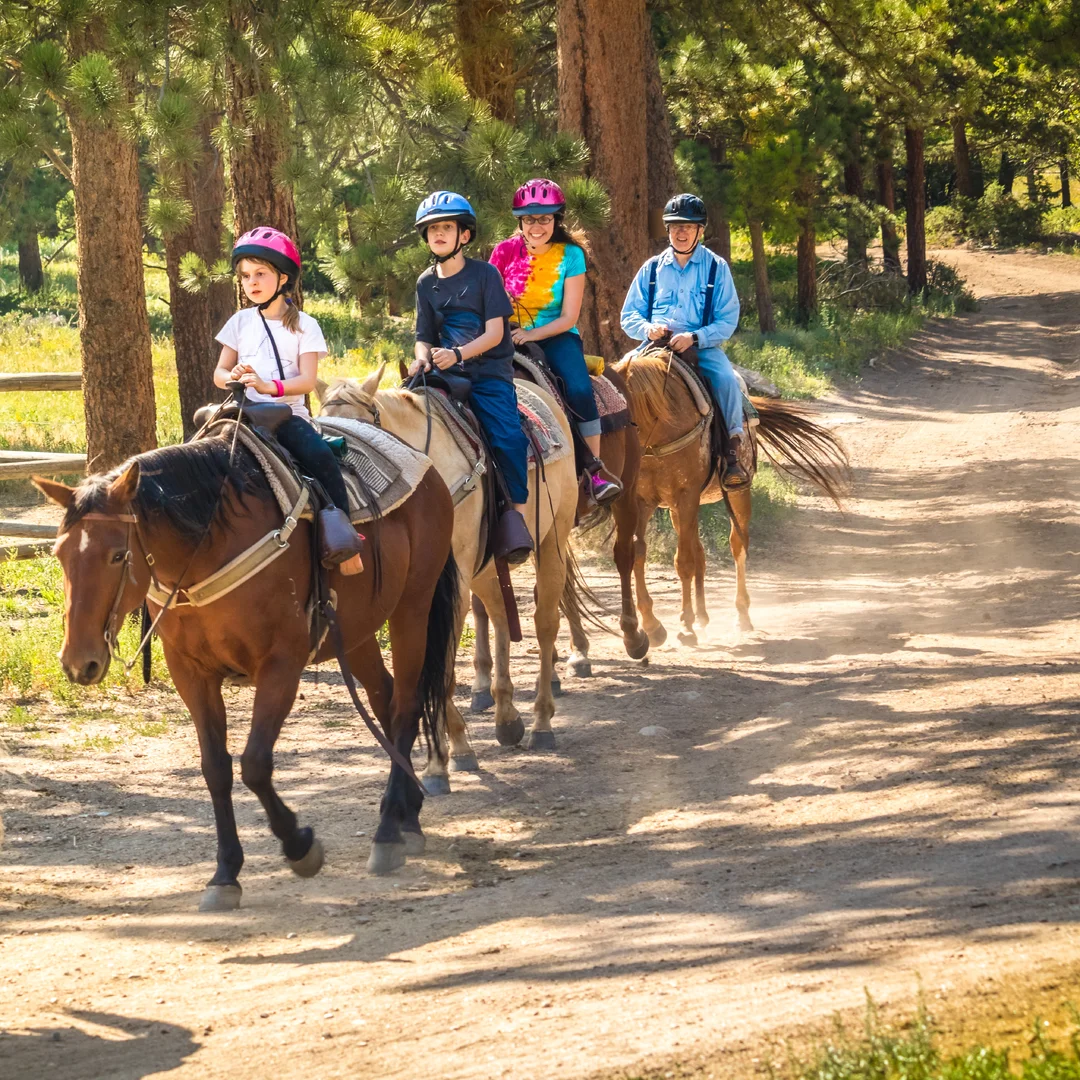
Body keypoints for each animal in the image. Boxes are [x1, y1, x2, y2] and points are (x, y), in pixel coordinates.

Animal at [34, 430, 459, 910]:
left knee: (405, 706)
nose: (79, 661)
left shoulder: (281, 663)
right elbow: (215, 769)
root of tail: (427, 470)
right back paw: (408, 816)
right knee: (385, 699)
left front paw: (300, 846)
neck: (207, 547)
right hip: (356, 631)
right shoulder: (190, 673)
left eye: (116, 555)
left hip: (413, 608)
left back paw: (388, 832)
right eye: (60, 553)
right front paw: (225, 875)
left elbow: (254, 764)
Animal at [318, 362, 582, 786]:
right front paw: (442, 758)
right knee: (499, 615)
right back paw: (506, 716)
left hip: (552, 539)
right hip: (486, 566)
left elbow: (439, 667)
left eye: (356, 440)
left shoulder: (450, 584)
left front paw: (450, 753)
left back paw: (541, 722)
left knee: (544, 625)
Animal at [612, 349, 848, 645]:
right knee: (700, 552)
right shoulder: (643, 501)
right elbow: (639, 554)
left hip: (735, 494)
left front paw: (685, 626)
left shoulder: (685, 496)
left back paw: (741, 616)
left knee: (737, 545)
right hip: (681, 509)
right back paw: (702, 618)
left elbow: (684, 562)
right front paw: (653, 626)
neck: (660, 434)